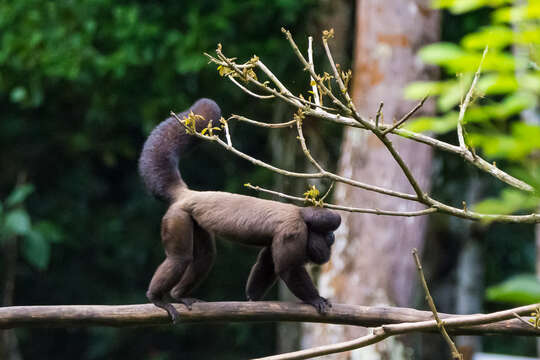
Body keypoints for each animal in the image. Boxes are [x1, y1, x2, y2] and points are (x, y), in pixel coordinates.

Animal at [139, 98, 342, 324]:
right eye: (328, 235)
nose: (333, 237)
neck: (303, 216)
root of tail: (186, 194)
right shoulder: (294, 231)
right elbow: (288, 270)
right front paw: (315, 299)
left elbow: (267, 260)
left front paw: (253, 299)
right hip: (177, 217)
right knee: (179, 259)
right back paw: (157, 298)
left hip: (193, 218)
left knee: (205, 257)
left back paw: (180, 295)